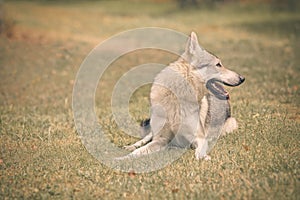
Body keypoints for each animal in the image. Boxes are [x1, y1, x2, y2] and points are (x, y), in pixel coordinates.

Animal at [123, 32, 244, 160]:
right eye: (218, 64)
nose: (242, 78)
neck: (178, 98)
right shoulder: (160, 139)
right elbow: (137, 152)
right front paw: (123, 159)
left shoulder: (199, 138)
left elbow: (198, 153)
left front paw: (203, 158)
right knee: (144, 139)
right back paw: (130, 146)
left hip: (231, 125)